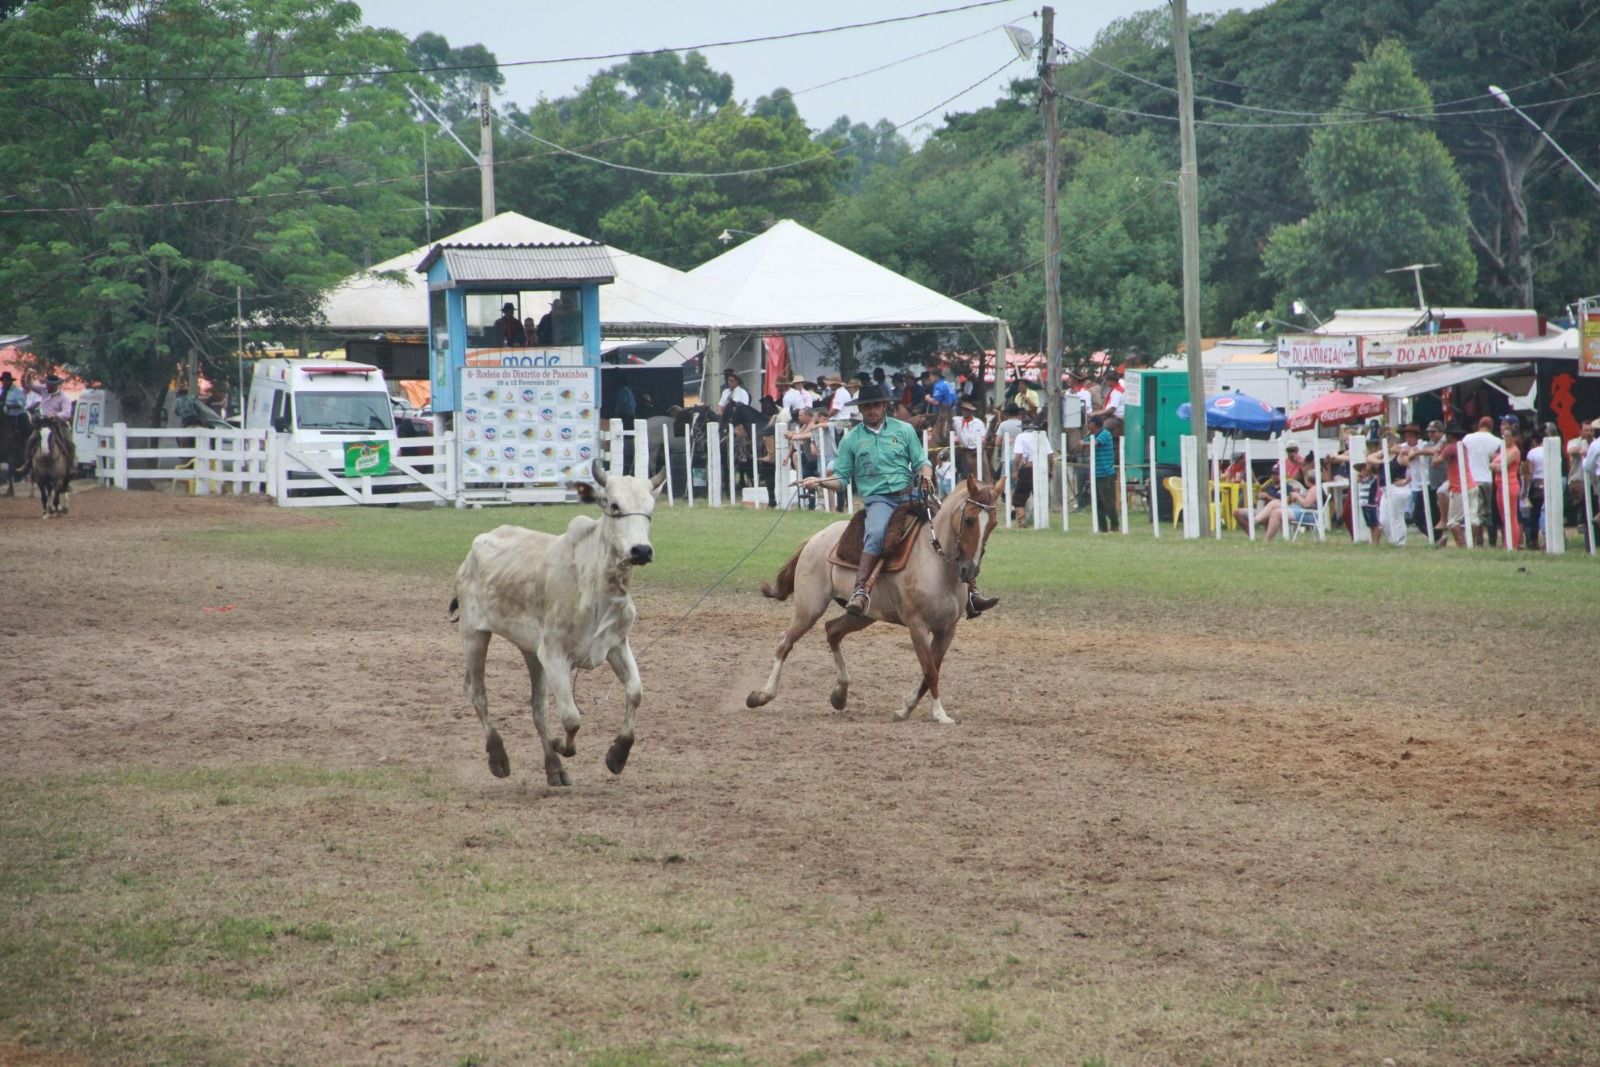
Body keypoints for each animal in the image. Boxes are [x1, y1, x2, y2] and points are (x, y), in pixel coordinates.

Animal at [454, 457, 665, 783]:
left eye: (650, 509)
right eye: (614, 505)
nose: (641, 550)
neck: (595, 583)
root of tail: (473, 552)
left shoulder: (616, 644)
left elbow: (635, 691)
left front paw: (618, 753)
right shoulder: (554, 654)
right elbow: (571, 716)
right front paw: (561, 744)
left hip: (530, 651)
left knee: (538, 707)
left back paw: (554, 767)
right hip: (474, 634)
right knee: (477, 692)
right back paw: (498, 756)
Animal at [748, 476, 998, 723]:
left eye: (993, 524)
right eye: (969, 520)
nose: (969, 571)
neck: (936, 563)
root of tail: (816, 538)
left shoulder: (947, 630)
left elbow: (932, 671)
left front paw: (906, 708)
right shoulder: (917, 626)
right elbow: (929, 671)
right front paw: (939, 714)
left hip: (862, 614)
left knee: (832, 630)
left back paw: (840, 695)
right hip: (809, 609)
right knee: (785, 642)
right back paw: (761, 695)